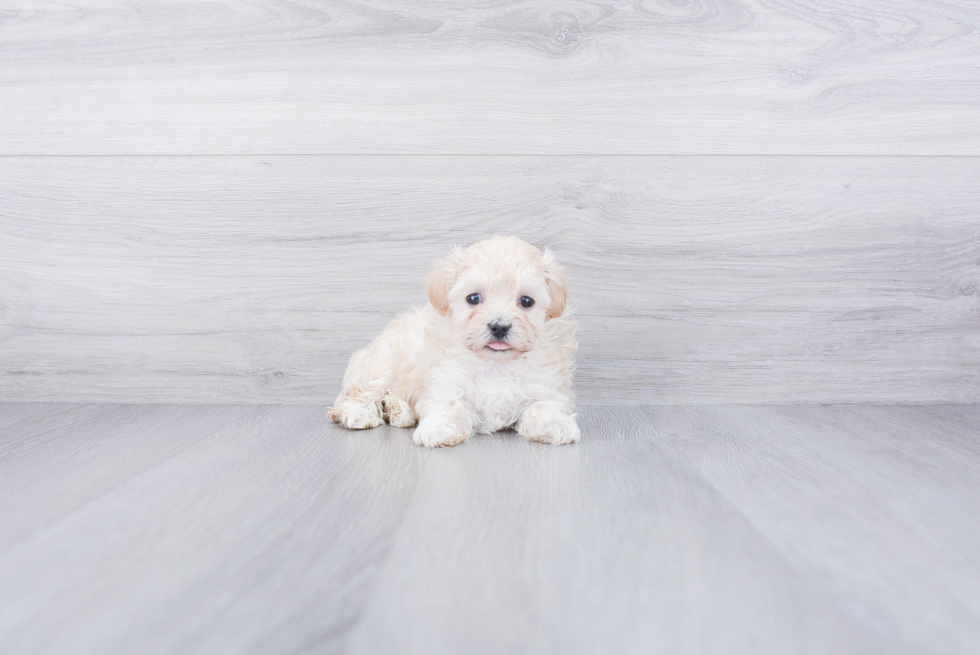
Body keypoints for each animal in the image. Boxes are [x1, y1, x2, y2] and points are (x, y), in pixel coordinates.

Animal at [330, 238, 580, 448]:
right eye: (473, 298)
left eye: (527, 301)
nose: (499, 326)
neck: (495, 364)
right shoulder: (446, 381)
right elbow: (447, 406)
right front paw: (438, 429)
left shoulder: (545, 385)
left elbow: (544, 406)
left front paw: (555, 425)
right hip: (383, 364)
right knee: (355, 396)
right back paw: (361, 415)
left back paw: (398, 411)